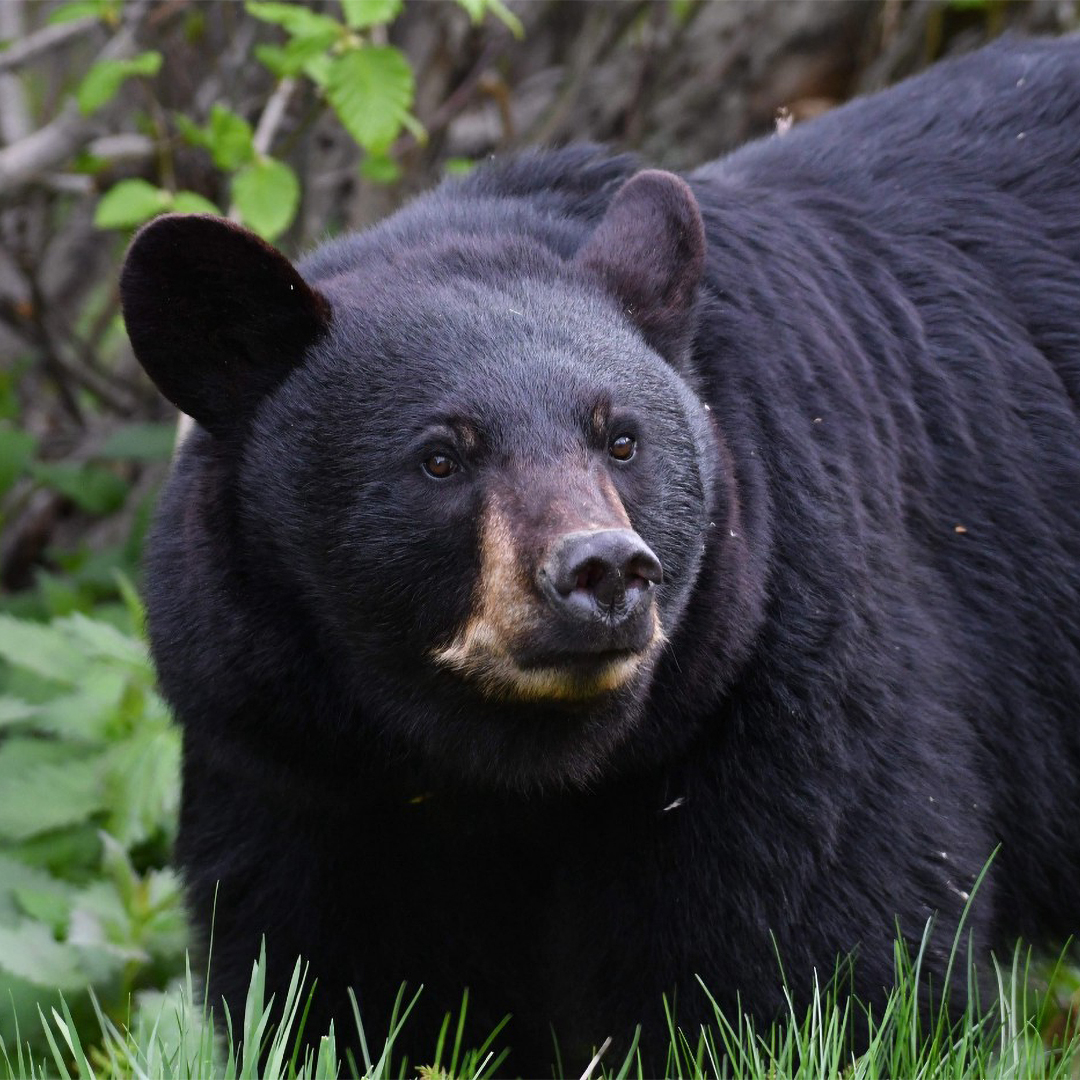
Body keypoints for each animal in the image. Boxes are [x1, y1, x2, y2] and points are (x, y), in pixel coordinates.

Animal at [119, 35, 1080, 1076]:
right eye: (441, 456)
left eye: (621, 439)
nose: (605, 569)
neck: (500, 767)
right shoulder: (291, 763)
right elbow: (327, 985)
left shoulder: (783, 667)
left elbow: (830, 959)